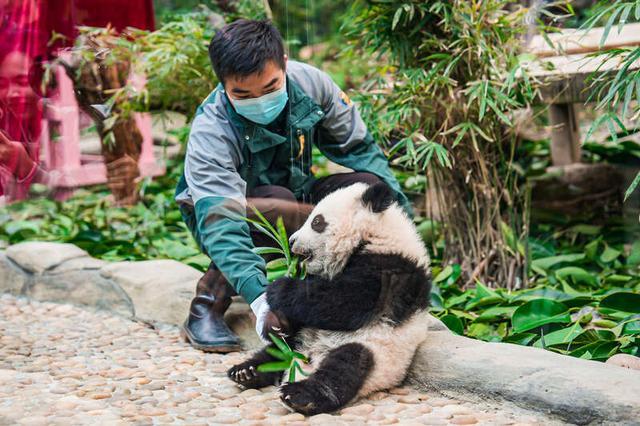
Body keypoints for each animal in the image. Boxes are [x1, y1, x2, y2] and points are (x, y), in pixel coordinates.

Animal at [228, 181, 432, 414]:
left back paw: (299, 395)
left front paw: (279, 287)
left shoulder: (389, 271)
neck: (375, 235)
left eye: (317, 222)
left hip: (377, 353)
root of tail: (306, 359)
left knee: (344, 367)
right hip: (300, 338)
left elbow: (342, 305)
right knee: (276, 350)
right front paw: (273, 321)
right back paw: (247, 371)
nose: (292, 240)